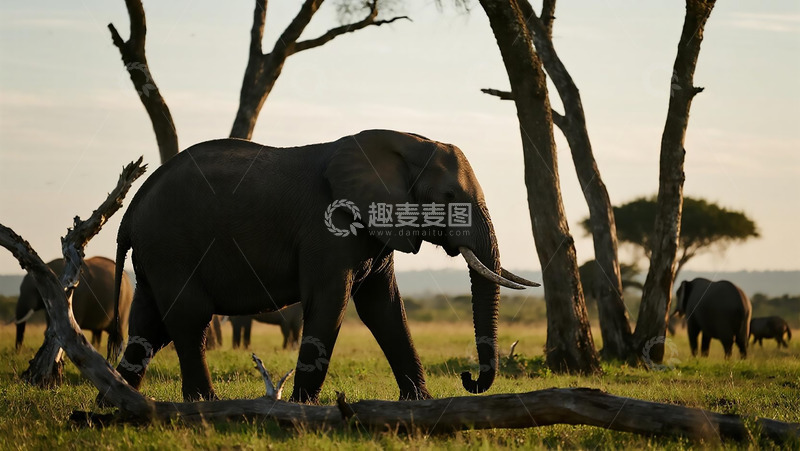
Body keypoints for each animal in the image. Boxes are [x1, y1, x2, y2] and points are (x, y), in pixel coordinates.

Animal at [104, 129, 537, 404]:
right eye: (448, 196)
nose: (468, 379)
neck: (402, 142)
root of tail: (132, 209)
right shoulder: (327, 228)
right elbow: (330, 303)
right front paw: (302, 408)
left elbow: (385, 309)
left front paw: (419, 402)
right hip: (171, 245)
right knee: (189, 318)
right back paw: (205, 403)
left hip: (155, 256)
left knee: (148, 325)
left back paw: (115, 401)